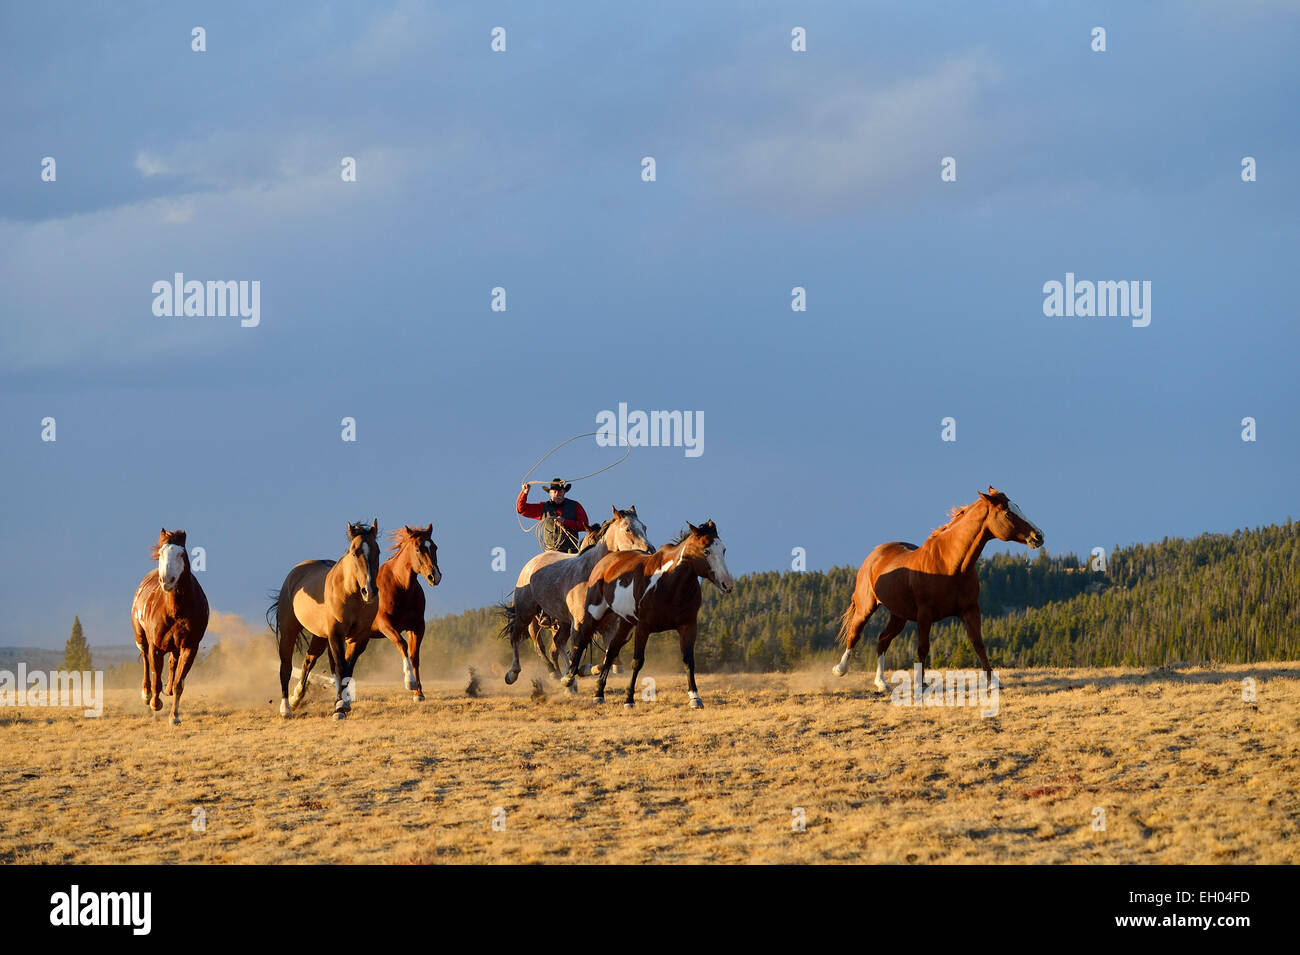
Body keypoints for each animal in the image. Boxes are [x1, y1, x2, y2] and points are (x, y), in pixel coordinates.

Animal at [129, 530, 208, 722]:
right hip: (140, 637)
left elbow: (179, 683)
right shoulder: (156, 647)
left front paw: (174, 717)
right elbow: (156, 678)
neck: (174, 611)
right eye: (160, 554)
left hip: (175, 647)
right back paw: (146, 694)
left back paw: (168, 688)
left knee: (172, 663)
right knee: (145, 660)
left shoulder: (190, 647)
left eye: (181, 554)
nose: (167, 580)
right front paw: (155, 703)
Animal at [270, 522, 379, 717]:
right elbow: (341, 666)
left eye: (378, 552)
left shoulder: (359, 637)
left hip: (320, 637)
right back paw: (286, 708)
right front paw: (340, 707)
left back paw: (297, 697)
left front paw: (342, 703)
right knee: (286, 667)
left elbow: (347, 668)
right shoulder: (336, 634)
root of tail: (294, 574)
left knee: (309, 661)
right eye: (354, 553)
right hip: (289, 631)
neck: (351, 593)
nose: (370, 591)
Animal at [501, 509, 655, 686]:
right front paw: (573, 675)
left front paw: (586, 669)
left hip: (563, 622)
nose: (650, 550)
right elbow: (577, 650)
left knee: (558, 642)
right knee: (521, 638)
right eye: (628, 528)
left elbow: (610, 657)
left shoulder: (608, 626)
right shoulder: (579, 623)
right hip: (526, 614)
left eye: (644, 527)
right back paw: (515, 673)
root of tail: (530, 566)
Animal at [564, 522, 738, 712]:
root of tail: (604, 563)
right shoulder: (643, 627)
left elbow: (688, 661)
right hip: (595, 613)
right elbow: (637, 662)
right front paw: (629, 700)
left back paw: (598, 694)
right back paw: (569, 679)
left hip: (625, 624)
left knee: (611, 651)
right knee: (581, 641)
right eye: (706, 551)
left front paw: (695, 698)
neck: (669, 582)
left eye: (723, 549)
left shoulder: (688, 626)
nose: (727, 584)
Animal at [832, 488, 1045, 691]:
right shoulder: (925, 614)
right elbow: (923, 647)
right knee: (855, 633)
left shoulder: (970, 610)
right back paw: (840, 669)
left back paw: (881, 683)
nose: (1039, 536)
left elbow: (978, 644)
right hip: (866, 606)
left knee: (883, 639)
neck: (951, 565)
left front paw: (994, 682)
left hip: (899, 615)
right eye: (1008, 513)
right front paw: (921, 683)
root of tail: (875, 554)